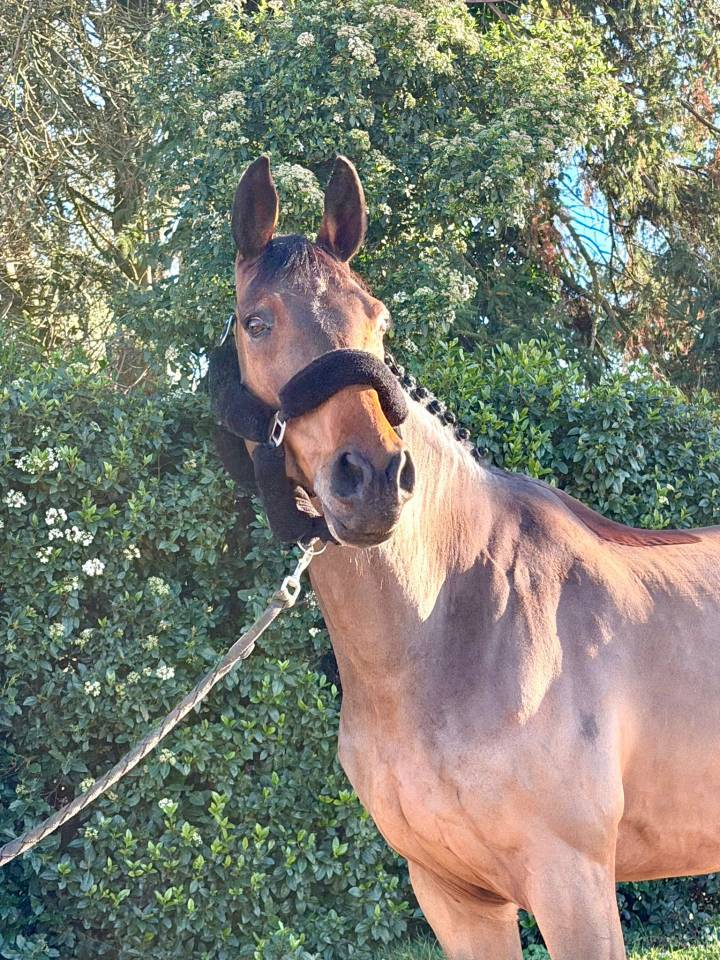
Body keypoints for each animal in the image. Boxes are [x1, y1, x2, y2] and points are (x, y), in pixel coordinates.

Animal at [225, 154, 720, 959]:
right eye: (256, 322)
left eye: (379, 319)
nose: (373, 479)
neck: (454, 624)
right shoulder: (454, 899)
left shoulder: (574, 883)